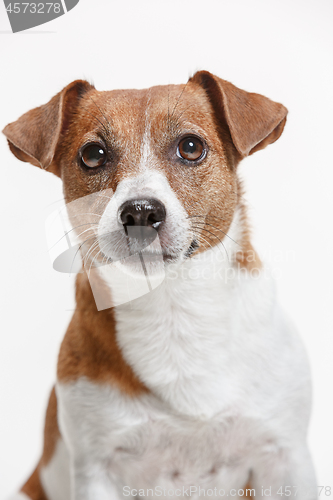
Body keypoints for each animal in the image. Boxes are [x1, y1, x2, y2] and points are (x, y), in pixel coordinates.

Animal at [3, 71, 316, 500]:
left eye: (191, 147)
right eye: (93, 154)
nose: (140, 211)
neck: (173, 310)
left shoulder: (285, 457)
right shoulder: (97, 469)